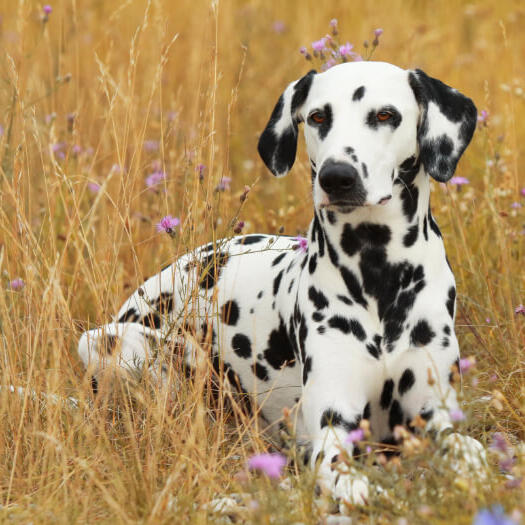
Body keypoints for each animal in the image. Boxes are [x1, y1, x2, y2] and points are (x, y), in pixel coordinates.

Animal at [77, 60, 484, 504]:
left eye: (384, 115)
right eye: (318, 117)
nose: (337, 177)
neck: (378, 275)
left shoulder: (436, 413)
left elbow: (470, 450)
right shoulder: (332, 429)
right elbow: (351, 478)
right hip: (114, 342)